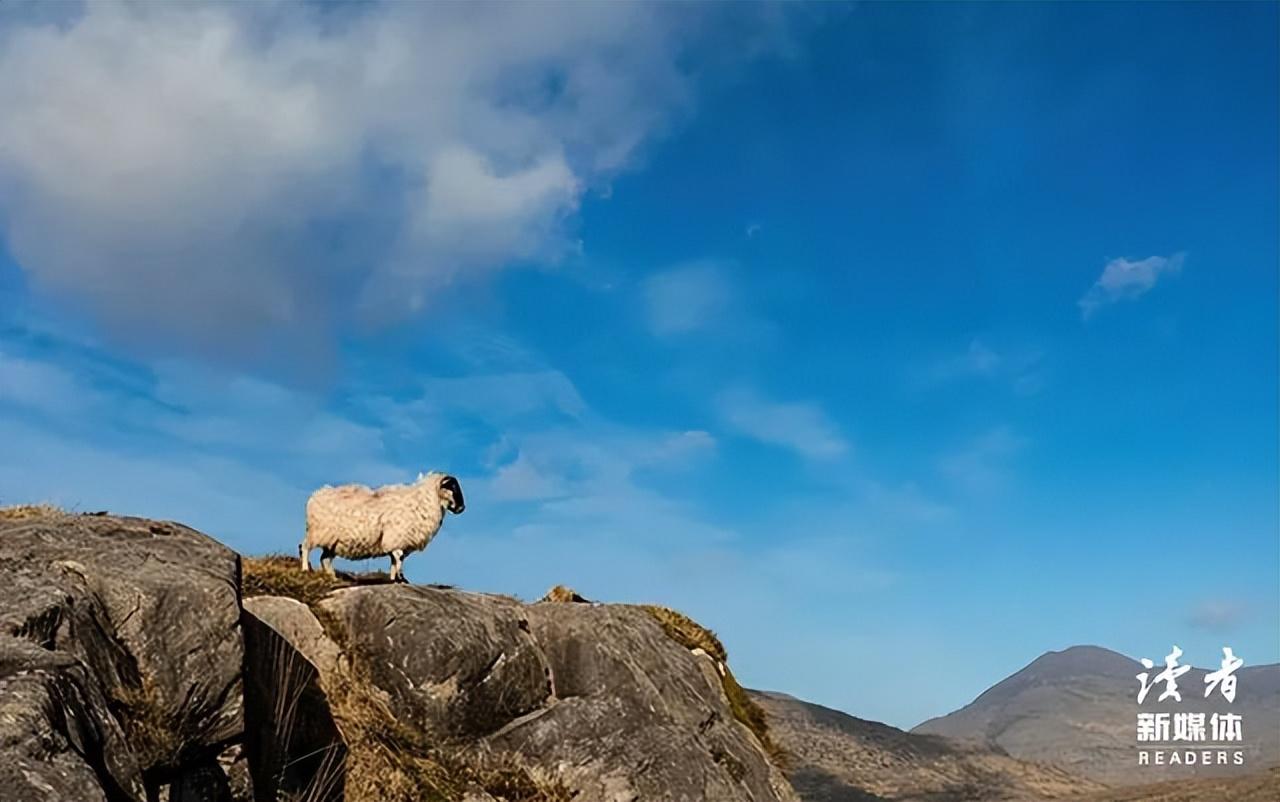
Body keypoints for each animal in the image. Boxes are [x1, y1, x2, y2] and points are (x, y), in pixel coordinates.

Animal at [299, 470, 465, 583]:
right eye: (452, 487)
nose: (461, 508)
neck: (423, 501)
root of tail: (315, 496)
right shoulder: (396, 539)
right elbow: (398, 559)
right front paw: (400, 578)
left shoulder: (398, 542)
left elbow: (394, 562)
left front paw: (394, 580)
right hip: (318, 532)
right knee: (305, 547)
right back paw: (306, 569)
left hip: (333, 542)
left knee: (324, 559)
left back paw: (332, 578)